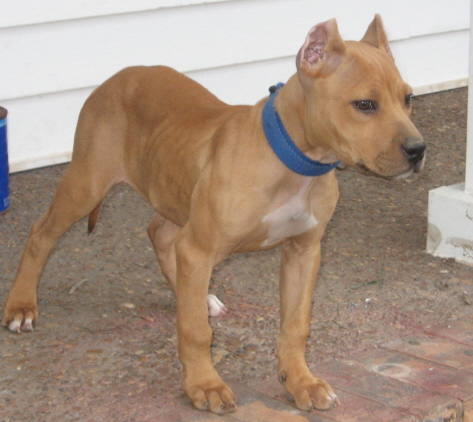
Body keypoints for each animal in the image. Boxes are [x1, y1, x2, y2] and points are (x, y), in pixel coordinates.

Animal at [3, 15, 425, 414]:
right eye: (365, 105)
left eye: (408, 99)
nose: (418, 149)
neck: (295, 160)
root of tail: (116, 78)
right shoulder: (201, 248)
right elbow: (194, 332)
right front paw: (204, 386)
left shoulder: (304, 251)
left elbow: (296, 324)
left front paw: (300, 381)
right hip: (87, 183)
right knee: (41, 233)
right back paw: (21, 307)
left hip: (174, 190)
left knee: (159, 233)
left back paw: (194, 294)